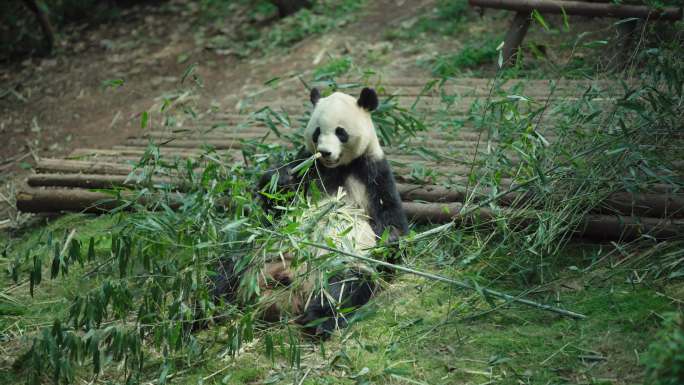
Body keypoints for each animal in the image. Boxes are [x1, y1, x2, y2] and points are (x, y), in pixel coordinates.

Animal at [214, 85, 406, 334]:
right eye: (317, 132)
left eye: (340, 132)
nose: (324, 152)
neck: (339, 167)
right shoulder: (308, 168)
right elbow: (276, 204)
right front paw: (280, 179)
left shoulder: (373, 172)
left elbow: (390, 218)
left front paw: (390, 241)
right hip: (256, 252)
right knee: (224, 272)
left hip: (339, 264)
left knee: (345, 287)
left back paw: (318, 319)